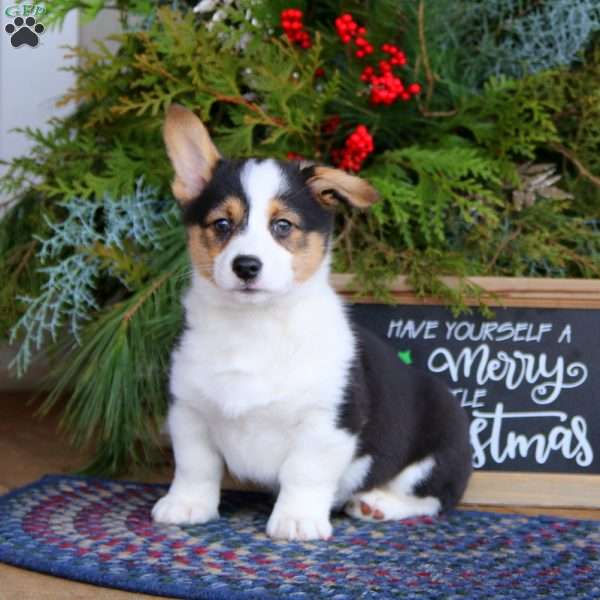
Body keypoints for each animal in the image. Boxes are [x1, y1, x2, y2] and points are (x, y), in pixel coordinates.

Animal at [152, 105, 472, 540]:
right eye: (221, 224)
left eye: (283, 225)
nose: (246, 266)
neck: (253, 327)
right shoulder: (189, 411)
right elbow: (194, 466)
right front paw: (187, 506)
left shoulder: (327, 422)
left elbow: (304, 473)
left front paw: (296, 520)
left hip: (438, 451)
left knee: (434, 497)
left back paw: (378, 504)